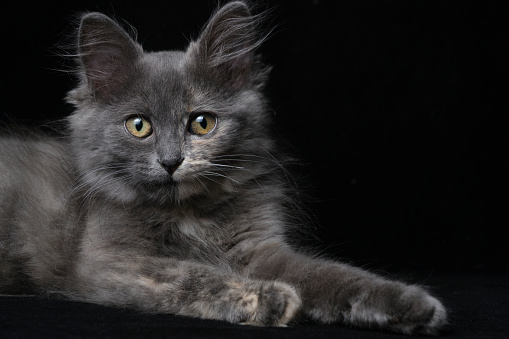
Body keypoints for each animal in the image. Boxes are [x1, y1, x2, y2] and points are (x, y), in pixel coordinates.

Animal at [0, 1, 444, 336]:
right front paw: (268, 298)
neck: (188, 213)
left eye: (202, 123)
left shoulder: (260, 248)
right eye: (139, 126)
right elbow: (192, 275)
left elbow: (334, 275)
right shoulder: (107, 261)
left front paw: (413, 304)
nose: (171, 161)